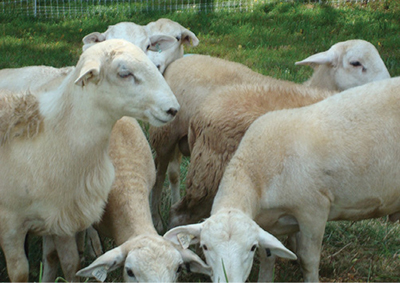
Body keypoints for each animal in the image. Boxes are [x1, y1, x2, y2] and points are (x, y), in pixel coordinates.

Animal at [0, 38, 180, 282]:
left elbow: (68, 262)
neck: (50, 140)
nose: (173, 109)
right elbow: (20, 273)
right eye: (124, 73)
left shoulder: (61, 217)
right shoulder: (9, 224)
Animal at [150, 38, 390, 233]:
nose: (387, 84)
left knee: (173, 175)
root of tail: (180, 60)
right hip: (166, 136)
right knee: (159, 175)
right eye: (356, 63)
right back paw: (158, 220)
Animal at [164, 76, 400, 282]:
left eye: (250, 247)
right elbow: (269, 257)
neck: (257, 169)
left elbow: (307, 259)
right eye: (205, 246)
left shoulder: (313, 211)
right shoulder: (269, 222)